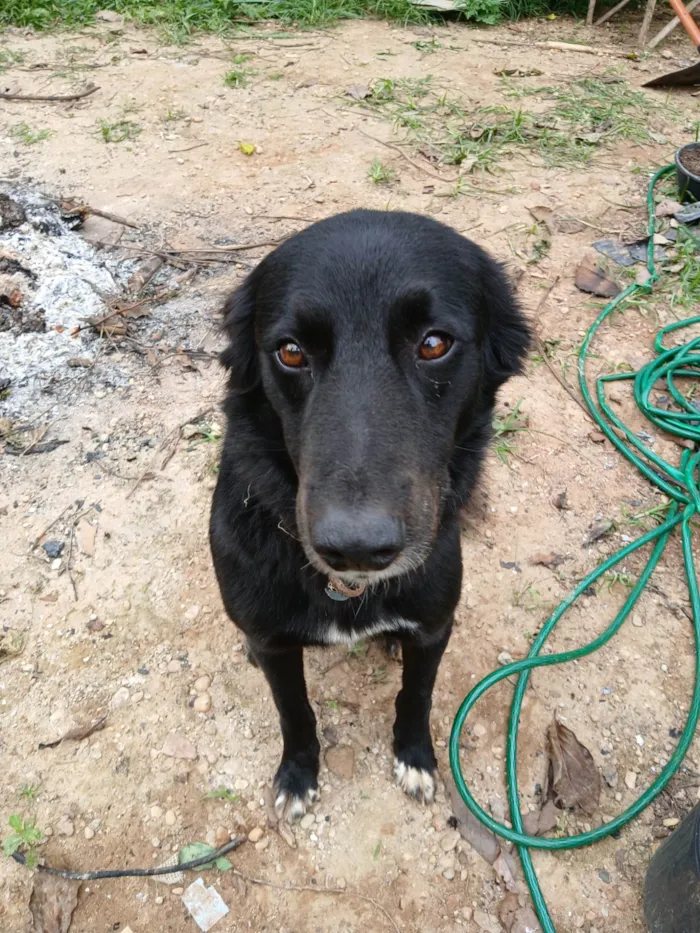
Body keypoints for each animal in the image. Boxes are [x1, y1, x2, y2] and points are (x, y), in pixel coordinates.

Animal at [211, 208, 528, 820]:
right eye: (290, 351)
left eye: (434, 344)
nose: (356, 546)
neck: (348, 593)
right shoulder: (276, 645)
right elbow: (294, 711)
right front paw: (298, 774)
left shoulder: (434, 626)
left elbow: (417, 695)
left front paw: (416, 757)